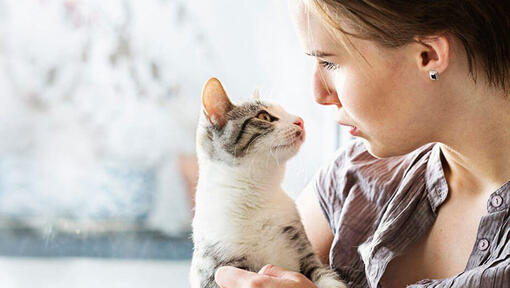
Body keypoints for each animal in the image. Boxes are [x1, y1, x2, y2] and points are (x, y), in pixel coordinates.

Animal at [189, 77, 348, 288]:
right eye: (264, 116)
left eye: (285, 111)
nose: (300, 120)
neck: (258, 191)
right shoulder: (217, 266)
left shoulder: (302, 246)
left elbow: (322, 275)